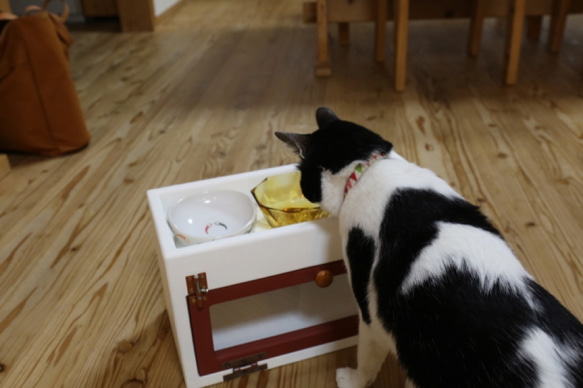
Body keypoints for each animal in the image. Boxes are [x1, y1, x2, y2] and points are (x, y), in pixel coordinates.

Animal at [276, 107, 583, 388]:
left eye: (304, 181)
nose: (305, 194)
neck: (368, 168)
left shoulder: (370, 313)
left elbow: (367, 358)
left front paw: (351, 380)